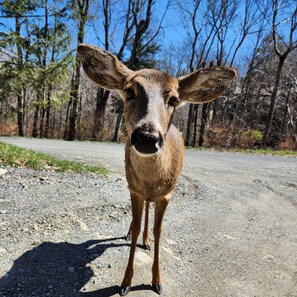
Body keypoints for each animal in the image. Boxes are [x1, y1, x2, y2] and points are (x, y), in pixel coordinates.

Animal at [77, 42, 235, 294]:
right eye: (129, 91)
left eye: (174, 99)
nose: (147, 137)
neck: (152, 179)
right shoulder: (135, 190)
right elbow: (136, 225)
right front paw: (126, 282)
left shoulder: (167, 194)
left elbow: (159, 231)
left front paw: (157, 280)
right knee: (138, 219)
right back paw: (134, 234)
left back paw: (146, 241)